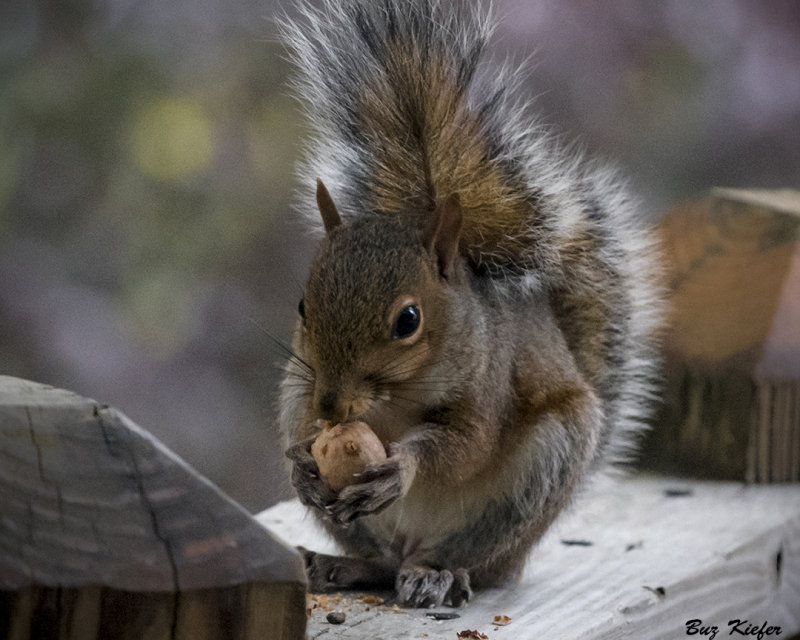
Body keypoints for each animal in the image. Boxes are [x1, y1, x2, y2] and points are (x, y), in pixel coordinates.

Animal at [276, 0, 664, 608]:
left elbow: (467, 443)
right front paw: (302, 466)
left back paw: (435, 573)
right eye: (301, 307)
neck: (394, 399)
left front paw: (404, 466)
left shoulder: (489, 383)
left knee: (467, 558)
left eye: (408, 320)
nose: (331, 407)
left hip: (534, 479)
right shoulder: (303, 388)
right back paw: (341, 565)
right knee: (379, 561)